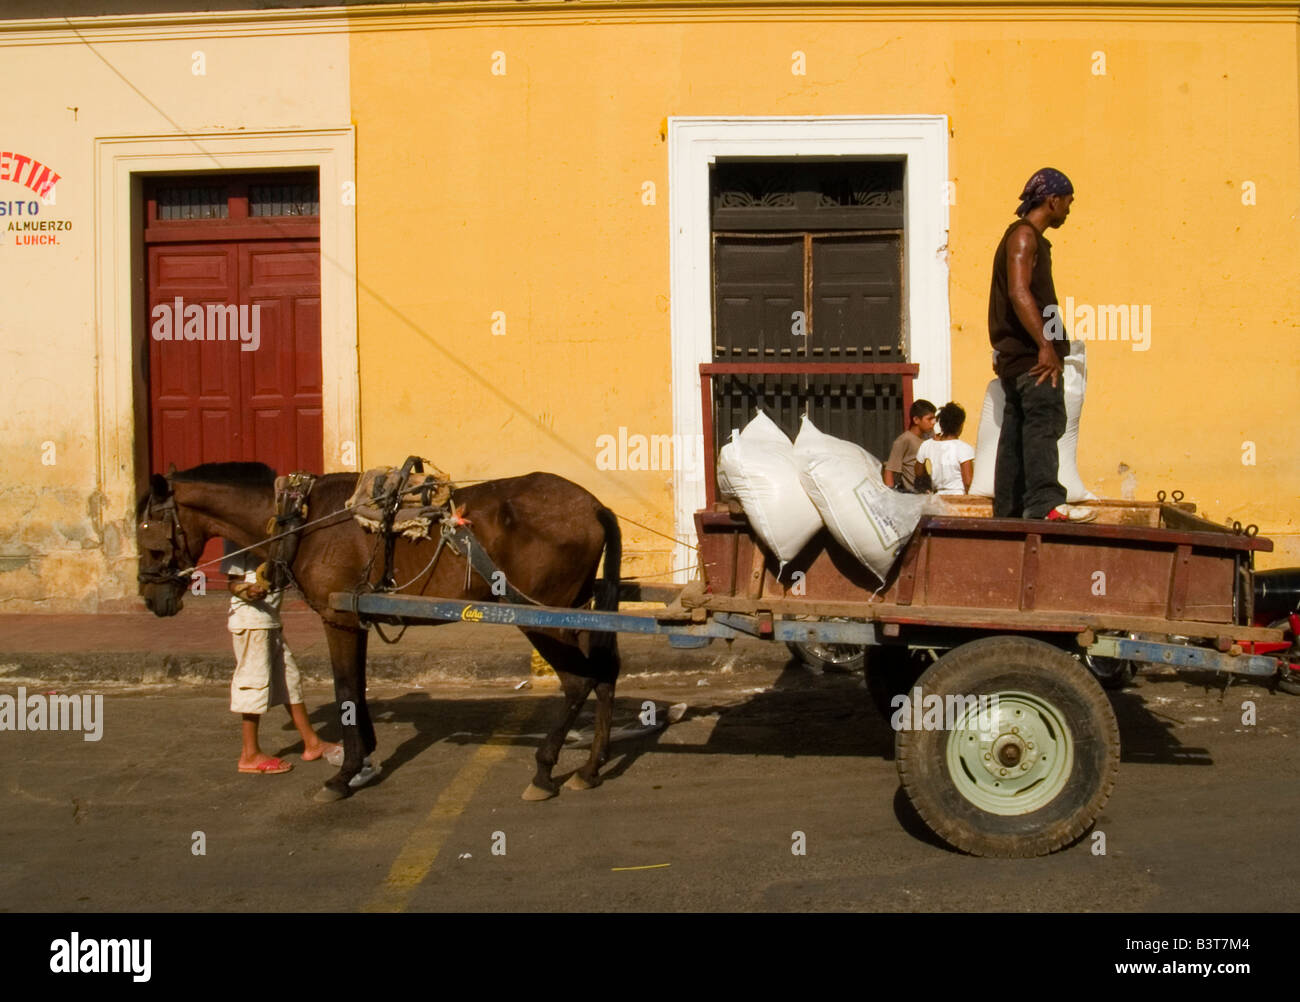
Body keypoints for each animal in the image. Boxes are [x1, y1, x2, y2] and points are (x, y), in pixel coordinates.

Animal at [134, 465, 621, 805]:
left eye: (149, 539)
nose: (152, 598)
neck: (302, 518)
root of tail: (593, 505)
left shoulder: (339, 619)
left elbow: (347, 688)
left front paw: (343, 775)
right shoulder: (357, 616)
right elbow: (358, 688)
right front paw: (363, 758)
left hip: (539, 616)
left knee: (578, 681)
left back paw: (544, 771)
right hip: (574, 610)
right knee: (604, 675)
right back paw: (590, 769)